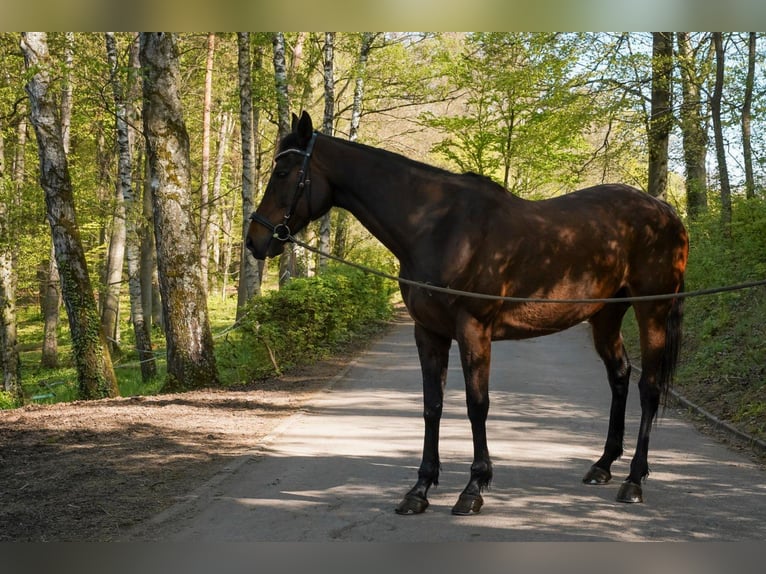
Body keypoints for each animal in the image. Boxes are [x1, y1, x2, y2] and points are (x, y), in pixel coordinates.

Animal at [250, 110, 688, 516]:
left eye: (284, 172)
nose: (255, 239)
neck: (439, 228)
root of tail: (666, 211)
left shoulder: (473, 329)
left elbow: (477, 404)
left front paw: (473, 489)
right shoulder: (428, 332)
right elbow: (433, 405)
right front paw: (419, 490)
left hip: (652, 311)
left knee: (648, 387)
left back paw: (634, 480)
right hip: (606, 316)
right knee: (619, 377)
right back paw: (603, 465)